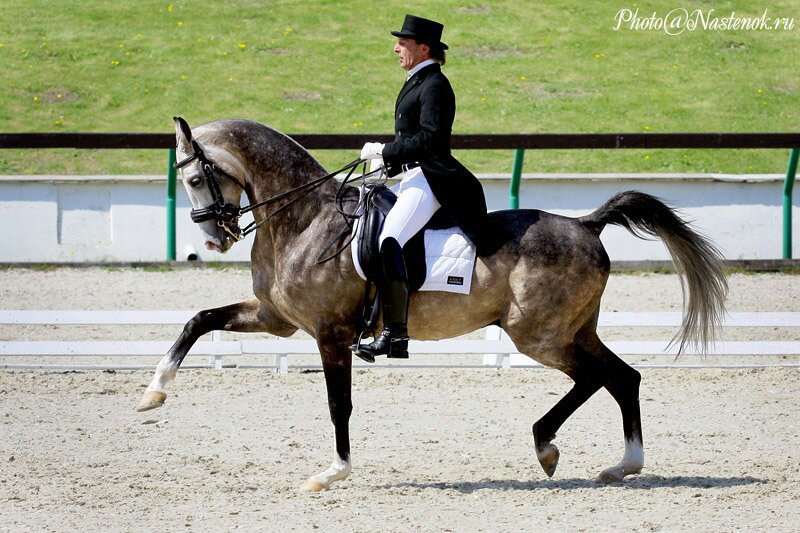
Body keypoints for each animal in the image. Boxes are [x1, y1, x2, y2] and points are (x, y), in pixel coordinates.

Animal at [139, 116, 732, 490]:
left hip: (539, 335)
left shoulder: (330, 333)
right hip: (572, 330)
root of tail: (586, 223)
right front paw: (152, 394)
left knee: (596, 377)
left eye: (197, 177)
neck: (304, 220)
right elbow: (197, 320)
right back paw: (621, 465)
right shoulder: (277, 319)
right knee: (622, 377)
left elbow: (338, 404)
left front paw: (333, 473)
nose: (214, 240)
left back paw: (548, 445)